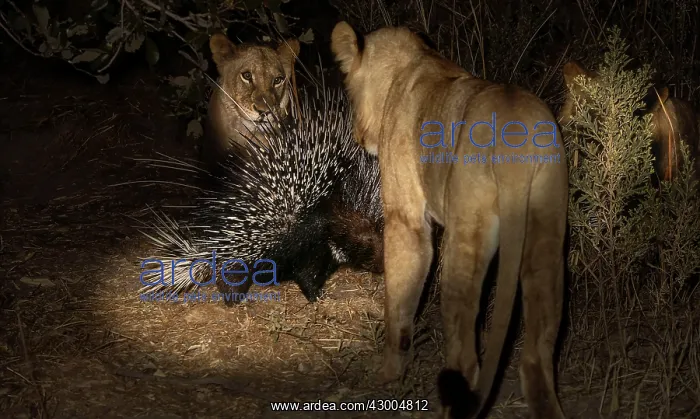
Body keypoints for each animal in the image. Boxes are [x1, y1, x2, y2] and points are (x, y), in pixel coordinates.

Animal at [331, 22, 568, 419]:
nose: (359, 136)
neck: (412, 62)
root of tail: (516, 142)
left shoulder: (406, 219)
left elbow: (399, 299)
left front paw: (390, 371)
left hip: (466, 235)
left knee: (467, 359)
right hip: (546, 230)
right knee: (537, 357)